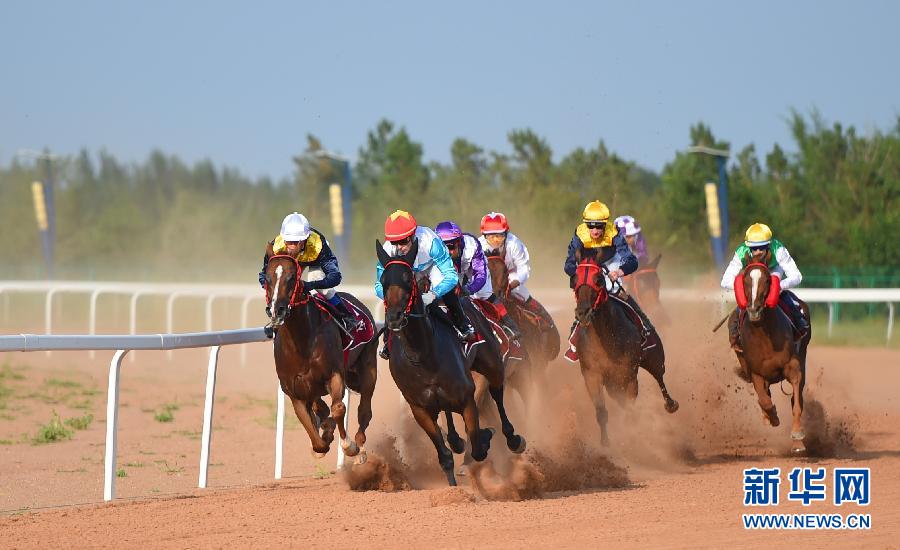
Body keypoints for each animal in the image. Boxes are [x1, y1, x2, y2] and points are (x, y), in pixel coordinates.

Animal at [268, 250, 380, 466]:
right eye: (267, 278)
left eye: (292, 277)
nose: (277, 310)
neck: (301, 342)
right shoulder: (295, 391)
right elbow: (317, 437)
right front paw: (324, 437)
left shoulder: (334, 375)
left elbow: (338, 408)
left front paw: (349, 446)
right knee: (321, 409)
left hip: (368, 366)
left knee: (365, 411)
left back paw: (360, 448)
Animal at [572, 252, 680, 446]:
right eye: (574, 279)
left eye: (599, 279)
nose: (583, 312)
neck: (605, 339)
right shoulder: (591, 375)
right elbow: (601, 411)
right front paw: (605, 444)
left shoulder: (628, 374)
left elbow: (631, 411)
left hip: (654, 357)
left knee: (659, 377)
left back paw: (670, 404)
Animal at [728, 252, 812, 454]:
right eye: (745, 280)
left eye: (767, 280)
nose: (754, 310)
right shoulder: (756, 373)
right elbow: (765, 401)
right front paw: (772, 417)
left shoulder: (793, 366)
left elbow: (796, 403)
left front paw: (797, 437)